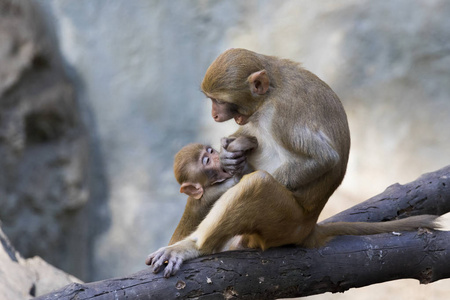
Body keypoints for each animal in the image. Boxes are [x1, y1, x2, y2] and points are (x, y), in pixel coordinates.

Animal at [146, 48, 438, 276]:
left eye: (220, 101)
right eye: (211, 101)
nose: (214, 114)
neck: (271, 89)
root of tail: (308, 227)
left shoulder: (281, 114)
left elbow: (323, 158)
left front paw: (233, 173)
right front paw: (230, 153)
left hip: (286, 223)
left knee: (260, 184)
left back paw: (194, 247)